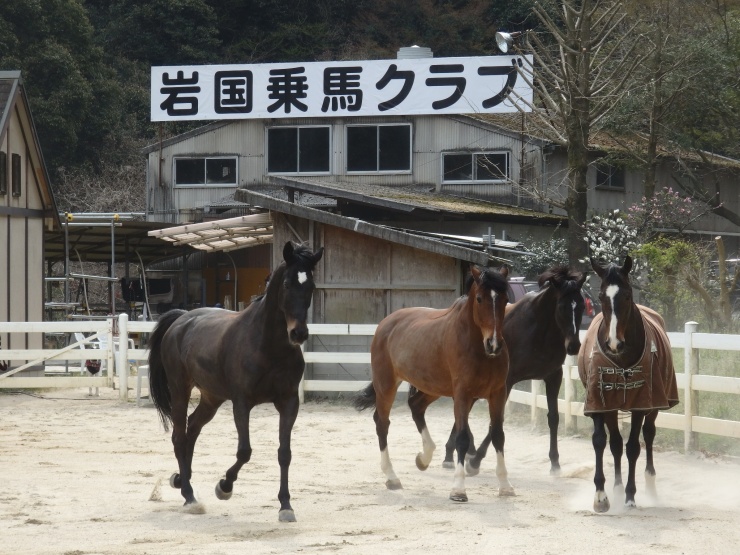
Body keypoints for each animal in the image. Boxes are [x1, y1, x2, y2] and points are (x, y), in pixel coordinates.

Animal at [147, 241, 324, 522]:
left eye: (312, 286)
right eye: (286, 284)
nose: (298, 333)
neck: (268, 345)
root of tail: (181, 319)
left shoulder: (288, 402)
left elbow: (284, 453)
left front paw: (285, 505)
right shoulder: (242, 403)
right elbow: (245, 451)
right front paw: (224, 486)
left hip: (212, 397)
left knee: (192, 428)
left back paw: (181, 479)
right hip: (179, 389)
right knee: (179, 436)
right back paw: (189, 495)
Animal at [354, 265, 513, 502]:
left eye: (504, 299)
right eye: (480, 299)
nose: (493, 344)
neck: (477, 348)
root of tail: (386, 323)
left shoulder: (497, 393)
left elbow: (498, 436)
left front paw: (505, 486)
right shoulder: (463, 394)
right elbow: (462, 438)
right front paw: (458, 490)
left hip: (432, 387)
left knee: (415, 407)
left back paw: (424, 458)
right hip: (386, 384)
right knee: (382, 423)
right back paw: (392, 477)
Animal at [441, 266, 587, 475]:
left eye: (581, 306)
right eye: (561, 306)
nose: (574, 346)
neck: (539, 331)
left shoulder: (553, 377)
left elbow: (553, 418)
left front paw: (555, 463)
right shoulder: (506, 381)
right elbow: (496, 422)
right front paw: (475, 461)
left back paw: (456, 452)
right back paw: (461, 453)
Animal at [578, 256, 678, 513]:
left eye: (626, 295)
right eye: (601, 296)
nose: (614, 343)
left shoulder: (641, 403)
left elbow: (633, 447)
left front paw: (631, 495)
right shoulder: (599, 403)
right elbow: (600, 442)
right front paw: (601, 496)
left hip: (654, 406)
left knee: (649, 435)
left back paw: (650, 487)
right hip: (612, 407)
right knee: (615, 443)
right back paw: (616, 488)